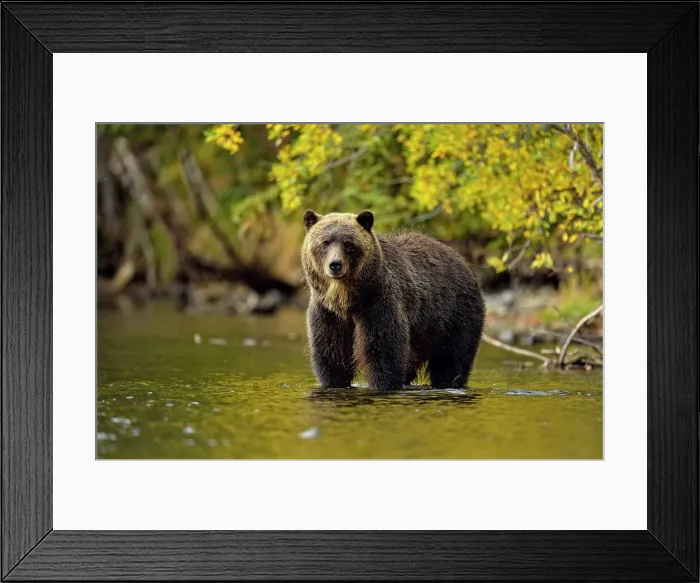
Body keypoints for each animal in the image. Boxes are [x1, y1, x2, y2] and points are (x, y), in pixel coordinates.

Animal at [301, 209, 485, 391]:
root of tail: (462, 260)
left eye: (348, 243)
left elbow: (384, 350)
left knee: (452, 358)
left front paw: (383, 383)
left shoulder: (378, 302)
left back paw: (449, 382)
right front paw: (334, 381)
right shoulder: (327, 311)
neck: (346, 298)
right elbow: (331, 350)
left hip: (455, 313)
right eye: (325, 242)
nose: (335, 264)